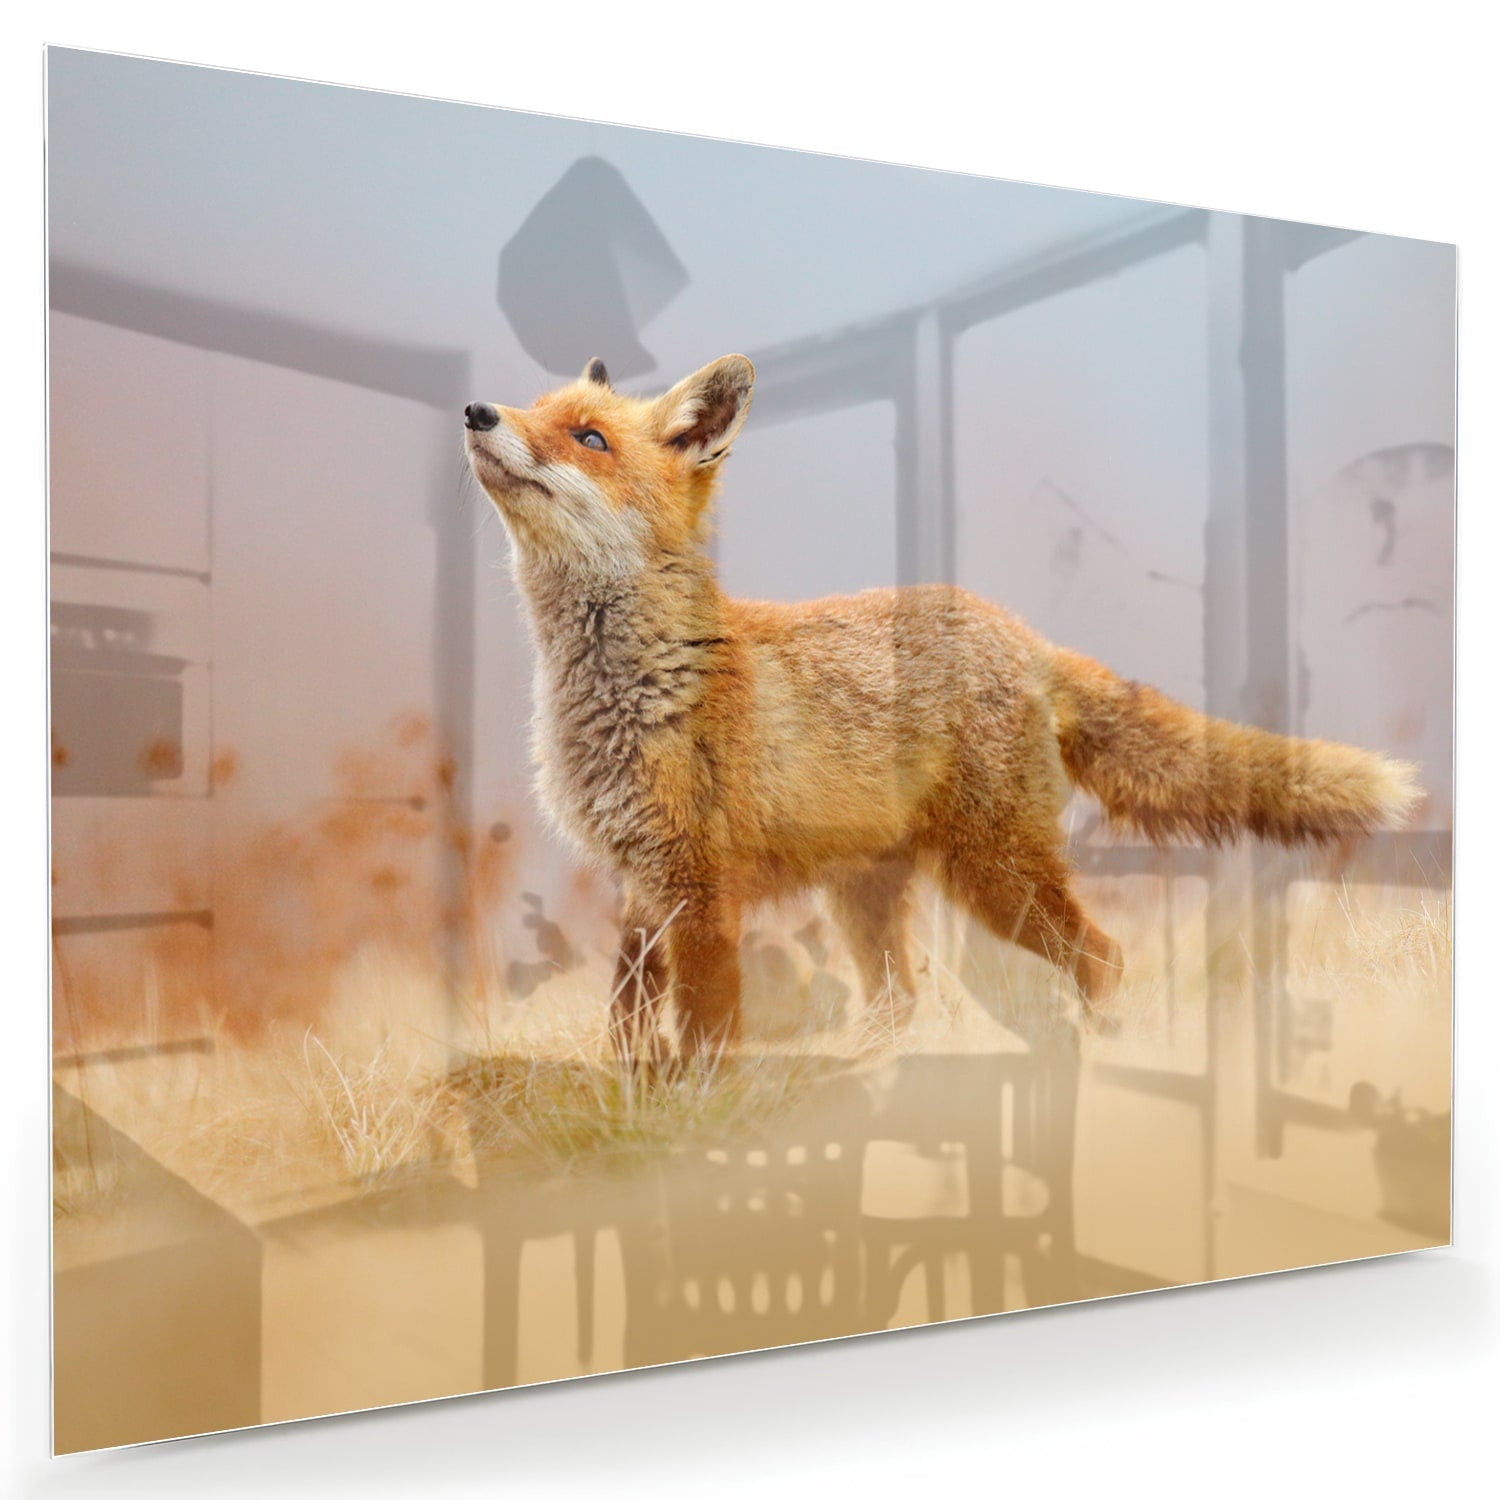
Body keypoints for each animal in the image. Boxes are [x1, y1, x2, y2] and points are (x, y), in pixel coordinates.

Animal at [464, 353, 1419, 1067]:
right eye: (537, 407)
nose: (476, 411)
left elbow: (705, 1028)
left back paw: (1105, 1055)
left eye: (588, 437)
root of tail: (1018, 630)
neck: (631, 689)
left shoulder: (700, 884)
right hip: (872, 897)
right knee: (903, 1002)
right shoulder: (639, 881)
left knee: (1102, 958)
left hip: (996, 878)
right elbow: (626, 1022)